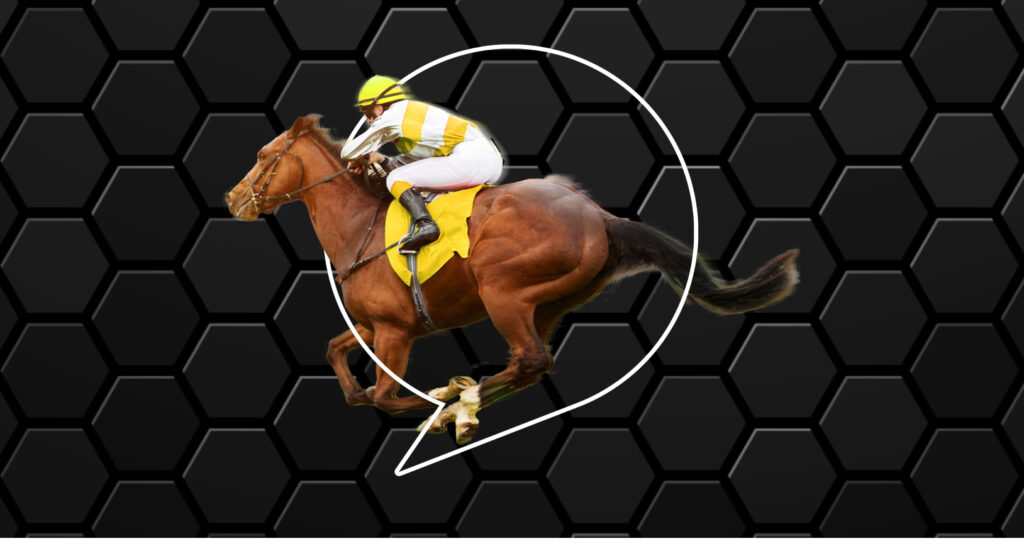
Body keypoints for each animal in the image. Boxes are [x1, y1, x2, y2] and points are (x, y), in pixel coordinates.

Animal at [225, 114, 800, 445]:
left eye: (262, 157)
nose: (233, 199)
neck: (358, 228)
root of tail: (599, 217)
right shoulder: (374, 324)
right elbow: (338, 357)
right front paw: (374, 393)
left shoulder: (394, 331)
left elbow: (387, 396)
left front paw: (439, 402)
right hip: (547, 302)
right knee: (531, 363)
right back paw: (467, 402)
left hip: (502, 289)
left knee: (528, 359)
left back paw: (460, 405)